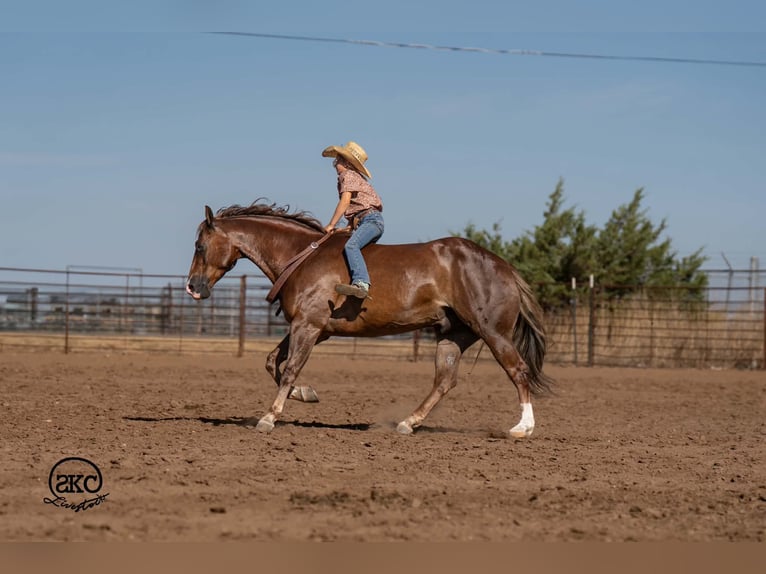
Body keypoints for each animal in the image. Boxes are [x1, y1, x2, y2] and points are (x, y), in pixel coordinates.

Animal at [186, 202, 554, 437]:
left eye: (200, 245)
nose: (192, 287)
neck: (300, 256)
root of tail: (504, 268)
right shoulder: (314, 328)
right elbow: (272, 361)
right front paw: (305, 393)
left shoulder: (308, 325)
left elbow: (289, 368)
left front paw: (269, 417)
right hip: (453, 335)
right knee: (444, 381)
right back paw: (407, 423)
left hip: (493, 332)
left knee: (518, 371)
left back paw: (523, 428)